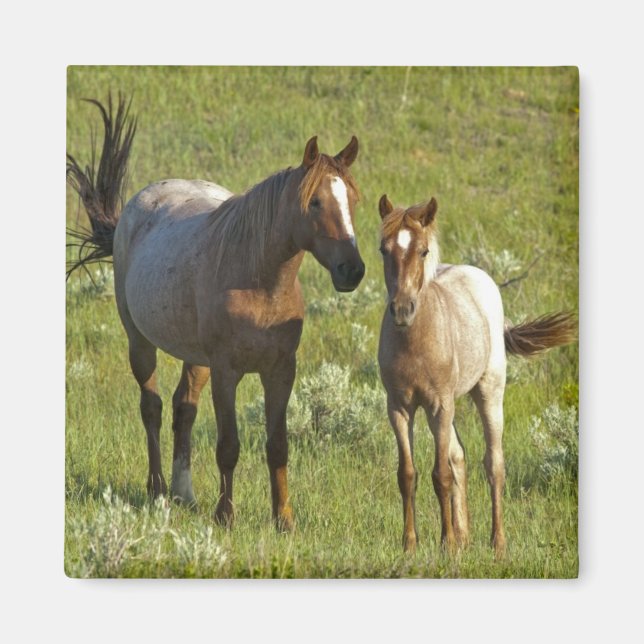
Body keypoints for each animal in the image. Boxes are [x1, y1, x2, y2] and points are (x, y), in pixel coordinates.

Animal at [67, 96, 365, 532]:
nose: (352, 270)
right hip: (140, 342)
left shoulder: (281, 370)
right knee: (152, 408)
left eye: (353, 202)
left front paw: (284, 519)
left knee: (184, 408)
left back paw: (184, 493)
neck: (260, 283)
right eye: (315, 202)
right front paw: (226, 515)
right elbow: (229, 445)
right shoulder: (227, 371)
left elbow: (278, 445)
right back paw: (158, 490)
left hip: (196, 358)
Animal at [376, 194, 576, 556]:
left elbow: (440, 474)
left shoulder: (439, 405)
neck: (415, 342)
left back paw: (497, 543)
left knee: (493, 464)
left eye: (423, 251)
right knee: (460, 457)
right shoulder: (398, 407)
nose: (402, 309)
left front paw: (446, 544)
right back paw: (465, 537)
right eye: (384, 250)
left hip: (488, 393)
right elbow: (408, 473)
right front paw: (411, 544)